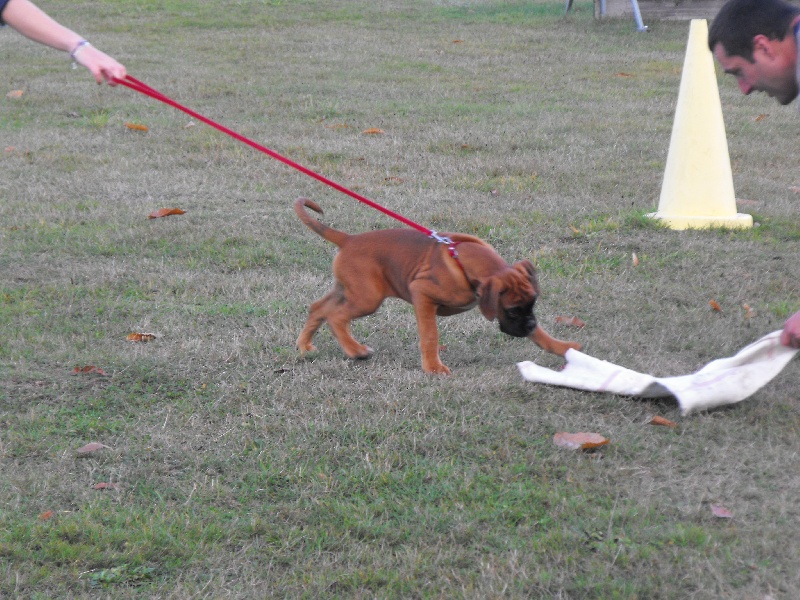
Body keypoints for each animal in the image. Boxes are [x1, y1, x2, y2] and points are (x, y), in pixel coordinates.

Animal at [294, 199, 580, 372]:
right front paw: (433, 368)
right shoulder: (422, 295)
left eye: (532, 304)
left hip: (349, 290)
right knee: (336, 316)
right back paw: (355, 351)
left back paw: (305, 346)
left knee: (318, 308)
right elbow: (430, 336)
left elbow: (542, 336)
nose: (529, 325)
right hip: (367, 298)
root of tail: (349, 239)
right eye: (511, 310)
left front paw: (562, 347)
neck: (466, 264)